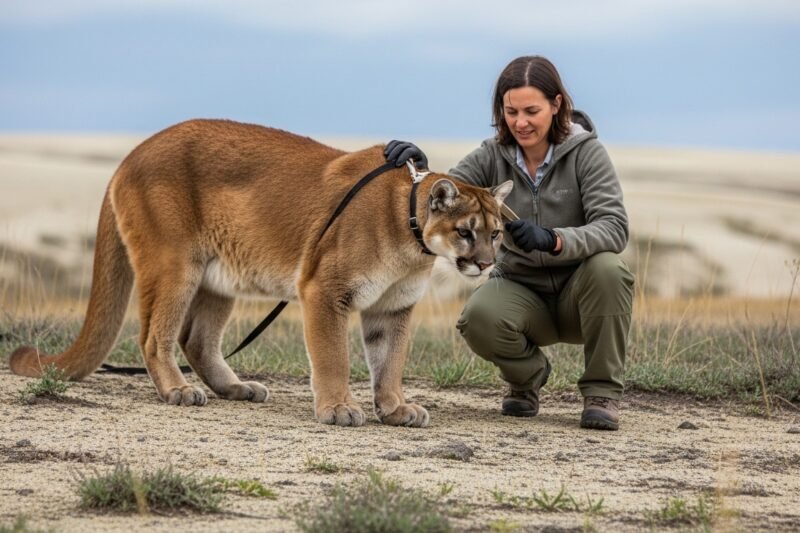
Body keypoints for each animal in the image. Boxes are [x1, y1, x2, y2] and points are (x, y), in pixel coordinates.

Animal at [9, 119, 512, 427]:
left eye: (497, 232)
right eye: (466, 232)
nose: (485, 263)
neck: (409, 234)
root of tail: (133, 152)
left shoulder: (393, 307)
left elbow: (390, 361)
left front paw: (394, 408)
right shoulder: (325, 291)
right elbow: (334, 356)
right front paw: (338, 408)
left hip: (218, 276)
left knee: (196, 339)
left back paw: (236, 387)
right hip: (175, 265)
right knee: (154, 336)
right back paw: (178, 391)